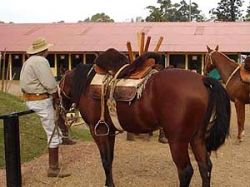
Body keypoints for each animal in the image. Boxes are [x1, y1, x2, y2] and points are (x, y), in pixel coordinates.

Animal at [56, 49, 230, 186]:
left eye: (58, 89)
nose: (61, 109)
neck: (86, 84)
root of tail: (203, 80)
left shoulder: (96, 130)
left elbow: (105, 160)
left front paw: (109, 184)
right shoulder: (109, 131)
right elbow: (110, 159)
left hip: (178, 141)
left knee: (186, 171)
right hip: (197, 138)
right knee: (205, 167)